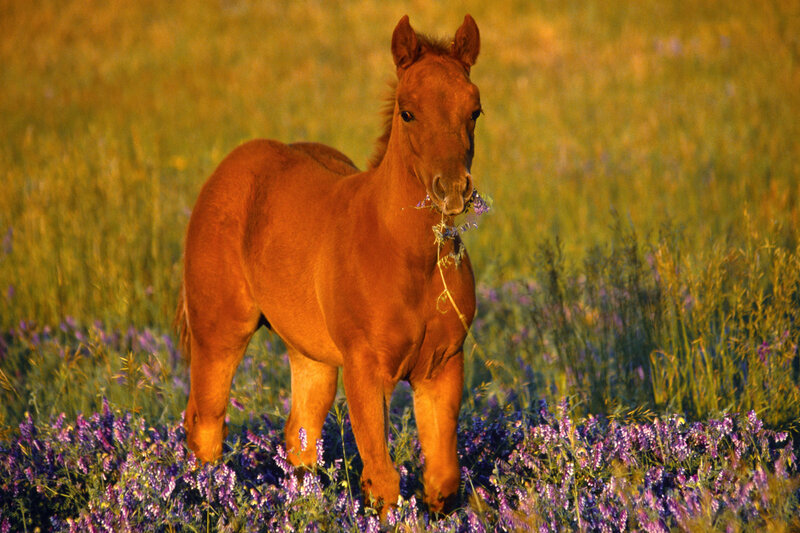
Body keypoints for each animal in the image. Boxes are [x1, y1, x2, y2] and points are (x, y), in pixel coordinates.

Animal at [175, 14, 482, 514]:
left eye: (474, 110)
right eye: (407, 112)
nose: (452, 189)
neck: (408, 258)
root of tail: (229, 167)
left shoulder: (441, 366)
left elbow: (441, 480)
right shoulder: (365, 370)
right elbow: (383, 481)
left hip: (310, 354)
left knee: (299, 438)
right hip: (219, 332)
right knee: (205, 427)